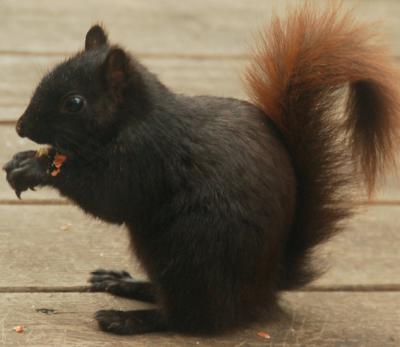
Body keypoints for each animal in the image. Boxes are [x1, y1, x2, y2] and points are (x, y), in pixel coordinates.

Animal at [3, 5, 400, 336]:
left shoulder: (146, 156)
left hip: (190, 254)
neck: (134, 117)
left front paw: (36, 169)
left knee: (193, 318)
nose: (21, 126)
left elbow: (109, 197)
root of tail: (267, 285)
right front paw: (24, 159)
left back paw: (131, 318)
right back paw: (126, 282)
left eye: (74, 103)